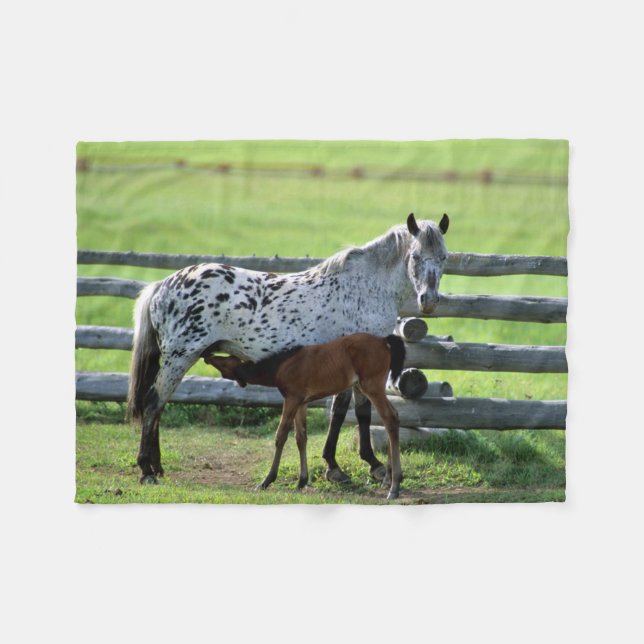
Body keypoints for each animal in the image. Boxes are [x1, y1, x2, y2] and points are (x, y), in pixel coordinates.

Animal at [204, 333, 406, 499]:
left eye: (225, 361)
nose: (207, 356)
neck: (281, 365)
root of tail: (383, 340)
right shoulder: (301, 402)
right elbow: (301, 437)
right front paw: (302, 481)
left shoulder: (291, 399)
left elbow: (281, 435)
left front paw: (267, 480)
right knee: (392, 418)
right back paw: (388, 479)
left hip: (371, 386)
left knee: (390, 418)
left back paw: (394, 486)